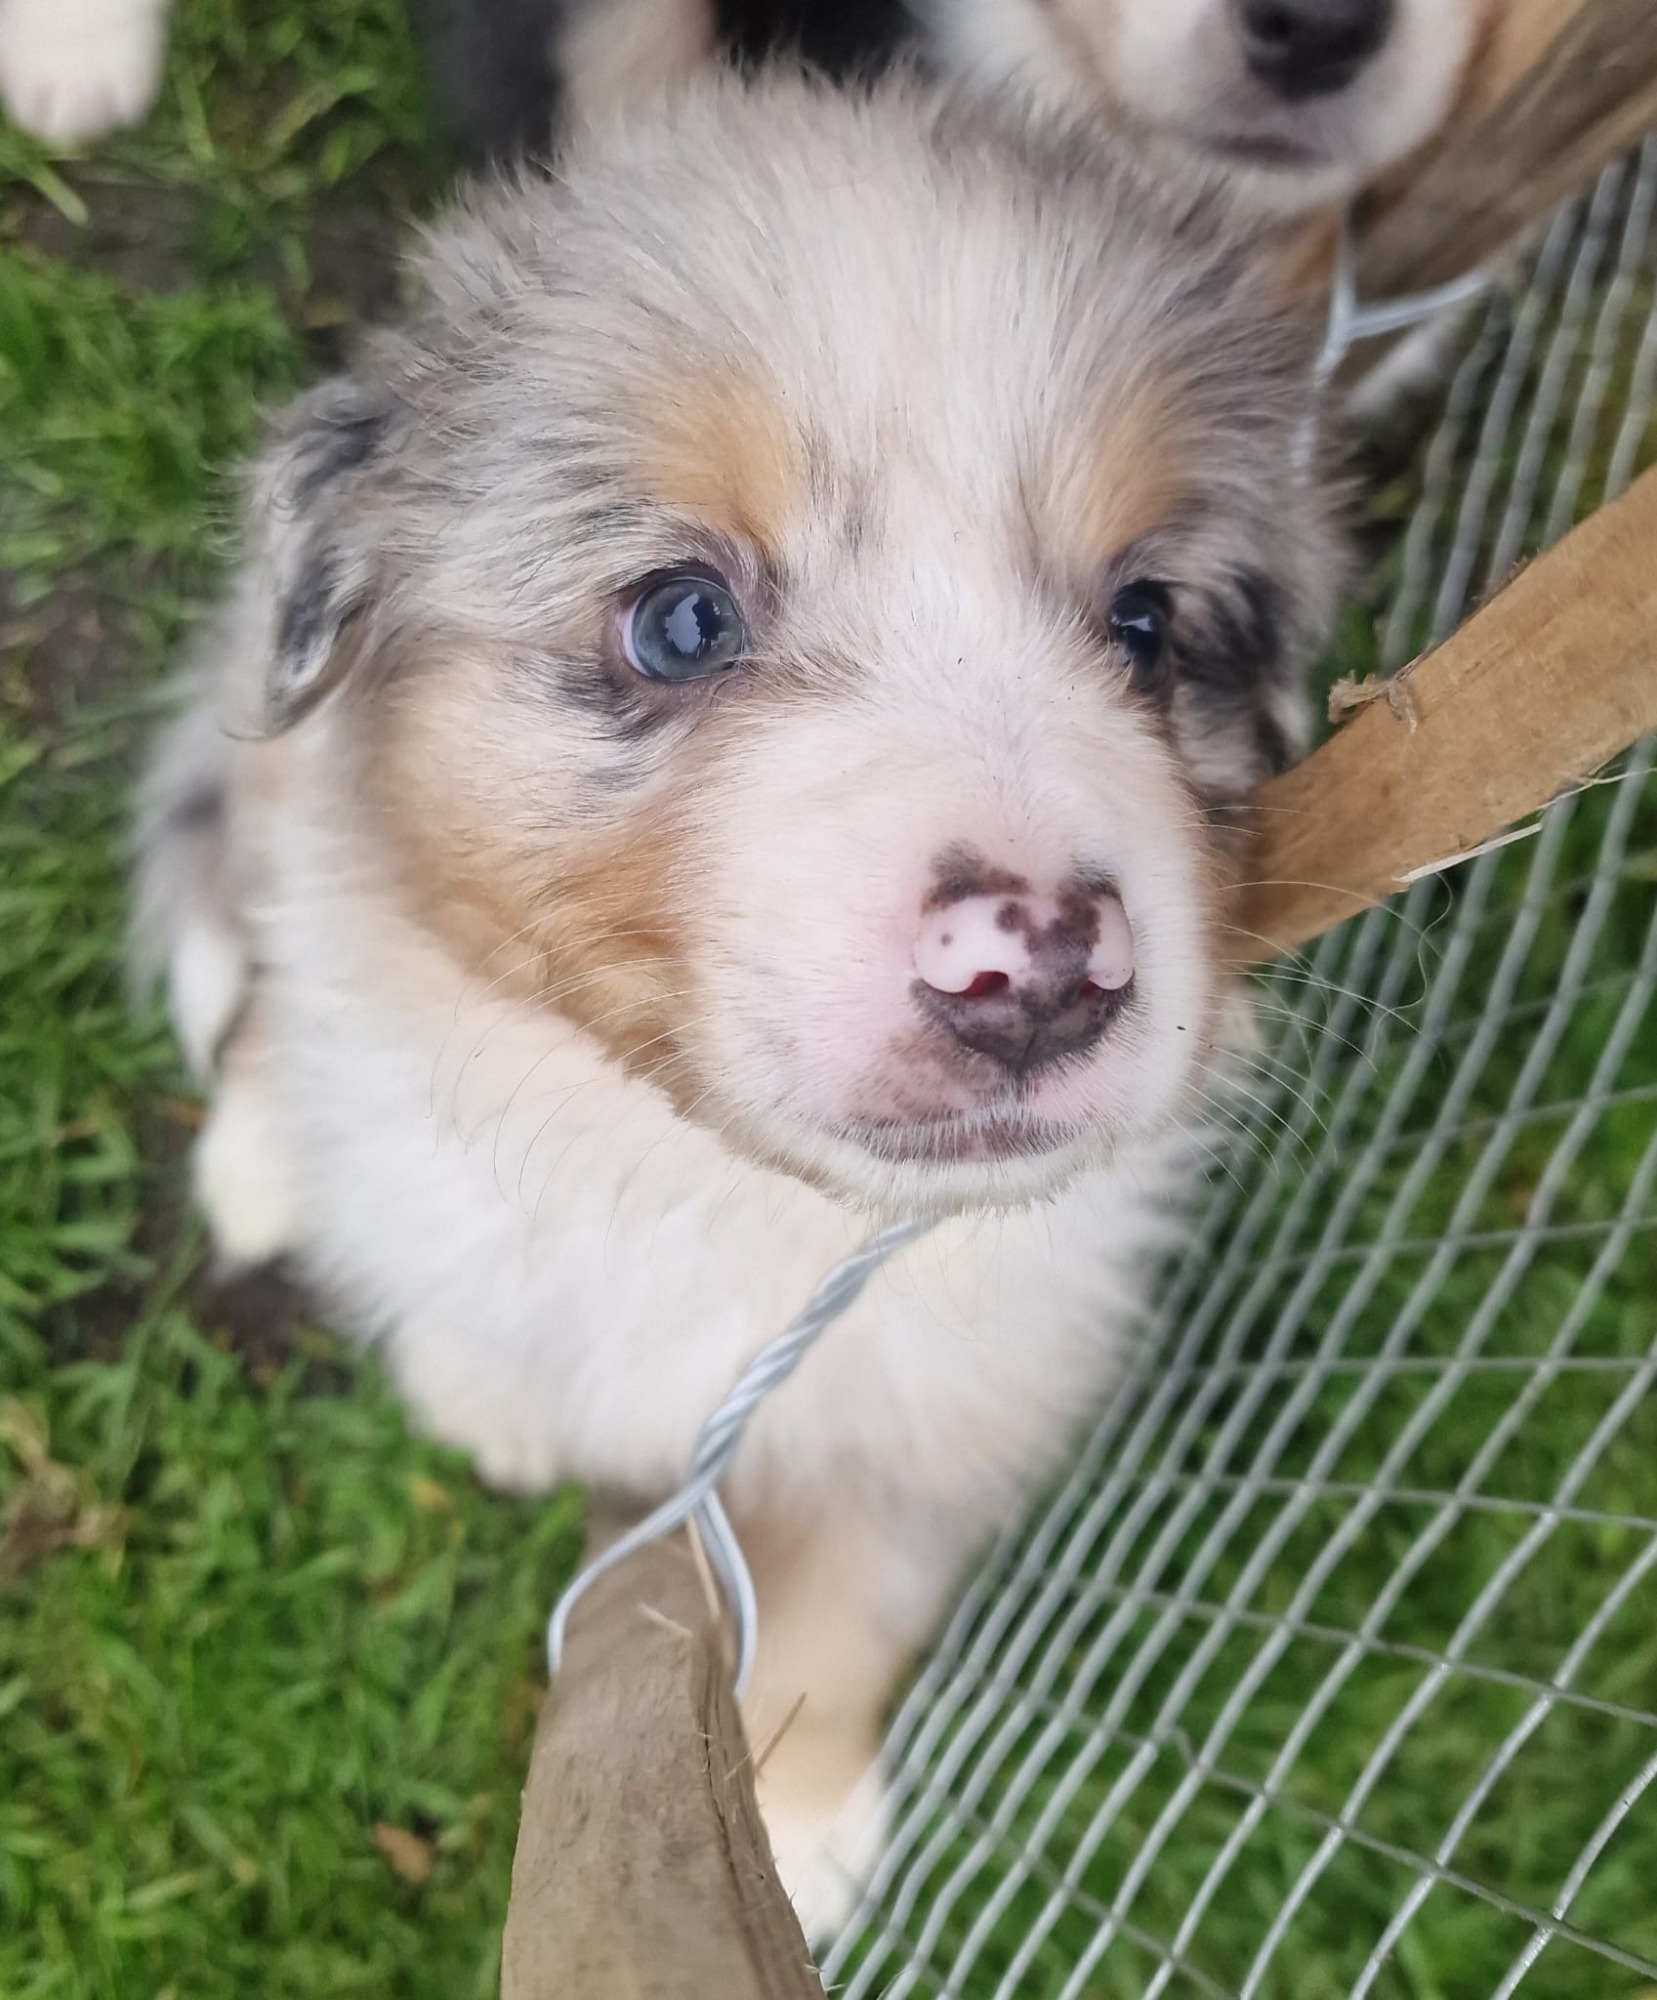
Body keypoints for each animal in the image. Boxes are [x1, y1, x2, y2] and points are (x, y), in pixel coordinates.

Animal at [133, 71, 1342, 1932]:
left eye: (1147, 625)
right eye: (682, 620)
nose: (1038, 965)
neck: (717, 1183)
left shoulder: (952, 1398)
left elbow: (854, 1604)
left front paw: (798, 1821)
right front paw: (484, 1390)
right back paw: (264, 1158)